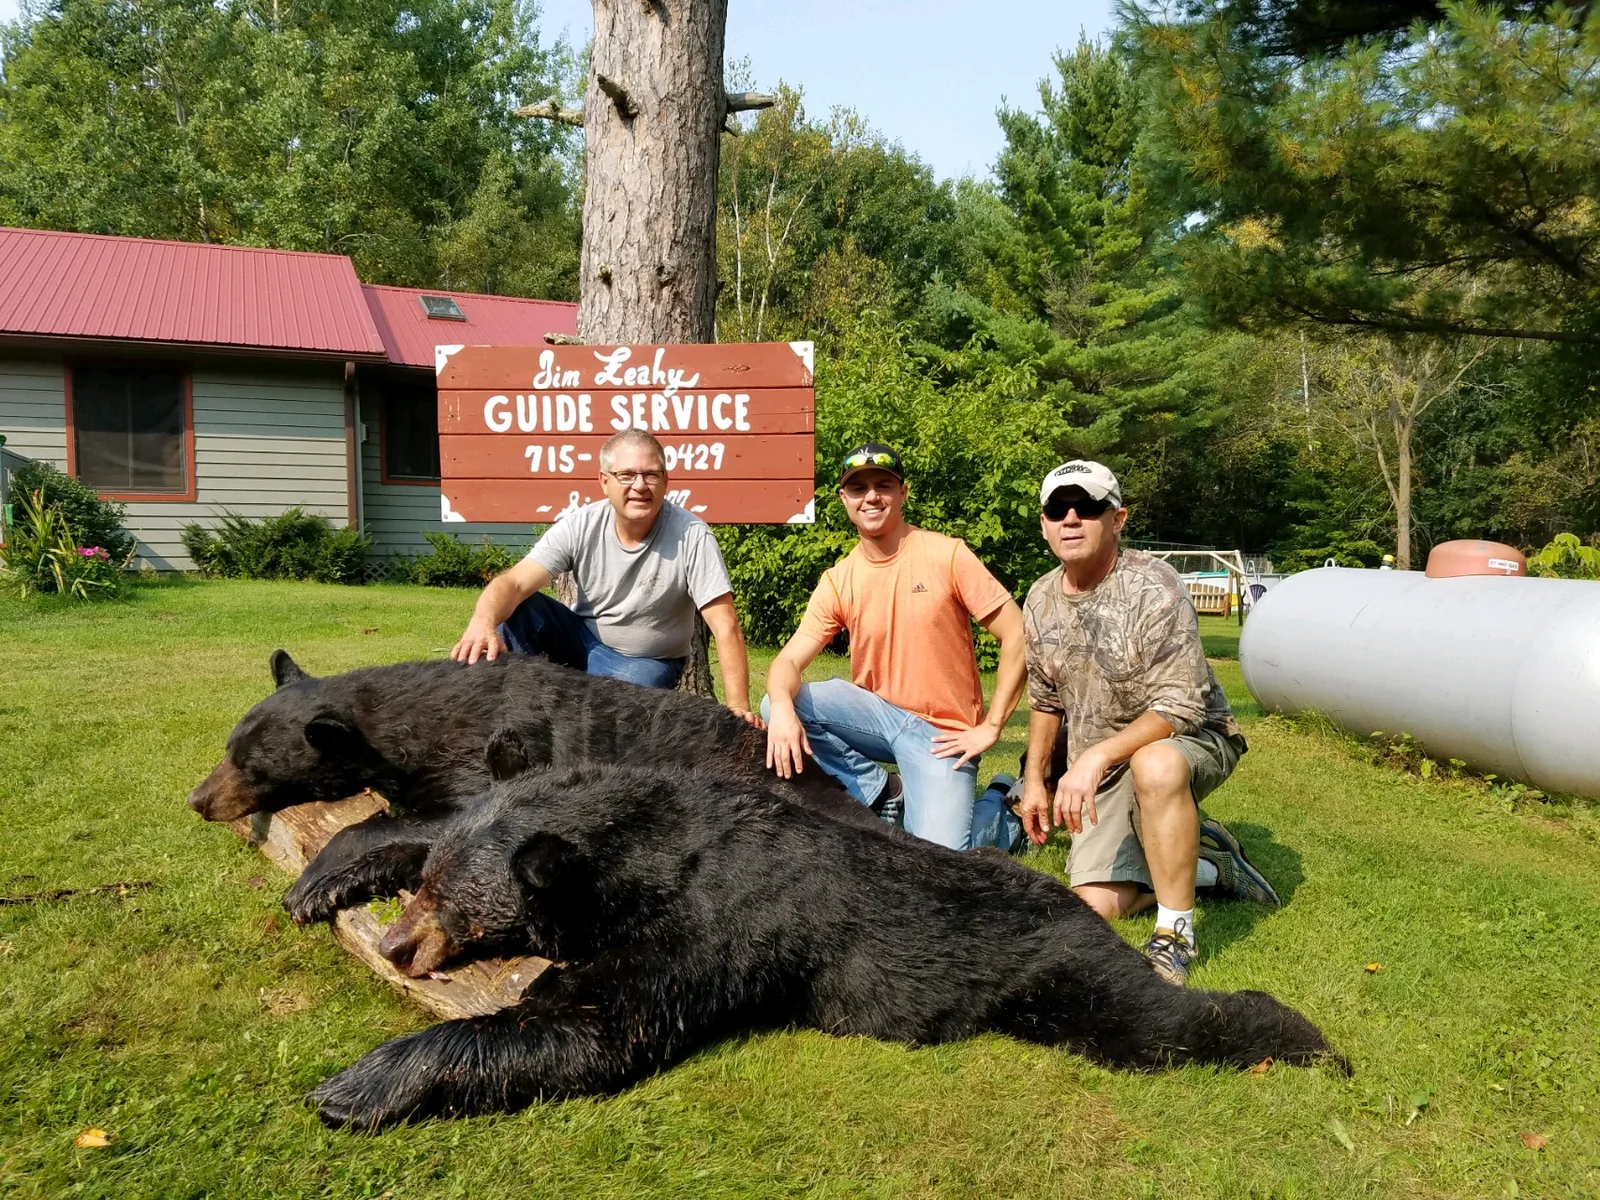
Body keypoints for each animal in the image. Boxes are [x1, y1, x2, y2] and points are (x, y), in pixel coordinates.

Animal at [187, 651, 866, 926]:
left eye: (252, 767)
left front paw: (314, 884)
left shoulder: (478, 753)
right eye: (228, 749)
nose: (198, 799)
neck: (405, 724)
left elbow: (435, 817)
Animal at [307, 740, 1347, 1131]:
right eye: (430, 886)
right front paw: (337, 869)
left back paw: (1310, 1039)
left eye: (454, 905)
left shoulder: (713, 919)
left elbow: (597, 1026)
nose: (396, 947)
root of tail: (1065, 902)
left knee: (1155, 1023)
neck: (645, 850)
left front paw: (360, 1080)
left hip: (1050, 967)